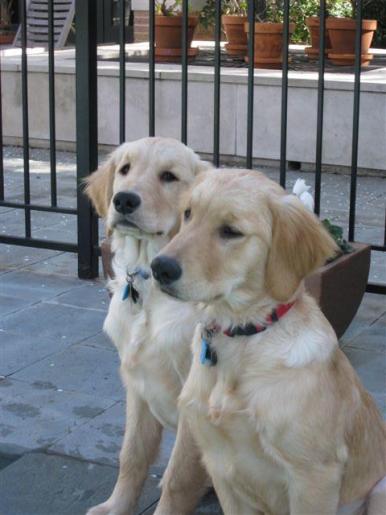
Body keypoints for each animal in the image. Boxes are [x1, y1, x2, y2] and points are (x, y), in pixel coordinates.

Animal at [83, 138, 211, 515]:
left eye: (169, 176)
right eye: (125, 169)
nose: (124, 200)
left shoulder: (194, 400)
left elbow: (177, 477)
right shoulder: (137, 385)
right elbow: (132, 455)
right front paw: (115, 506)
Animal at [151, 169, 386, 515]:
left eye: (231, 231)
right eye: (188, 214)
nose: (160, 268)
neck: (243, 336)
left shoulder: (314, 475)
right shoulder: (221, 467)